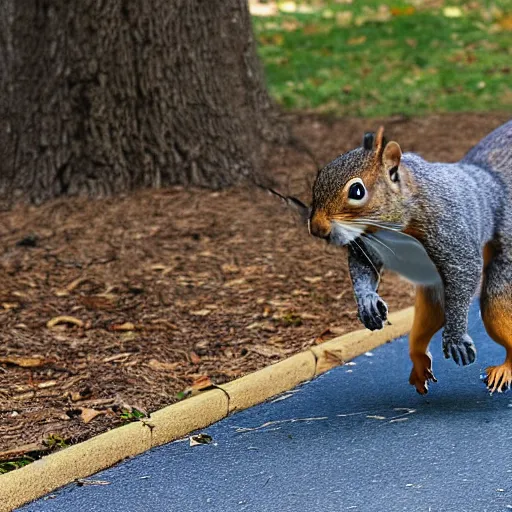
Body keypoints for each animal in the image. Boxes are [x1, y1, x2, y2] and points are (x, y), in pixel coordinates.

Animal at [276, 120, 512, 396]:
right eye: (319, 176)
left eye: (357, 190)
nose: (317, 229)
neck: (387, 229)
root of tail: (493, 183)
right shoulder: (364, 244)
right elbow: (362, 269)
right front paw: (367, 301)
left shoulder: (449, 230)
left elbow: (464, 269)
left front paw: (455, 337)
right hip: (432, 289)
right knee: (427, 321)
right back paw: (419, 363)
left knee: (494, 304)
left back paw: (504, 369)